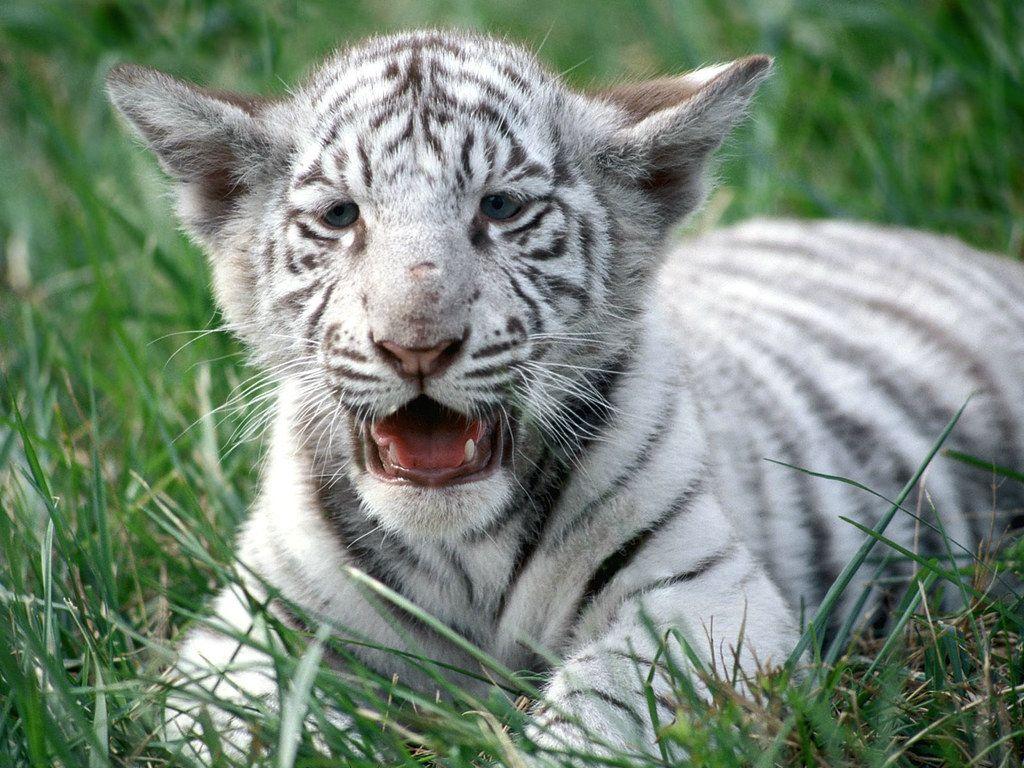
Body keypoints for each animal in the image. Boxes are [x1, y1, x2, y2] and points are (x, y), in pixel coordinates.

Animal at [106, 29, 1024, 764]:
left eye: (501, 208)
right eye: (340, 216)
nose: (416, 344)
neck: (461, 553)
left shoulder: (707, 595)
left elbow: (608, 699)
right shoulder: (251, 630)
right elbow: (241, 728)